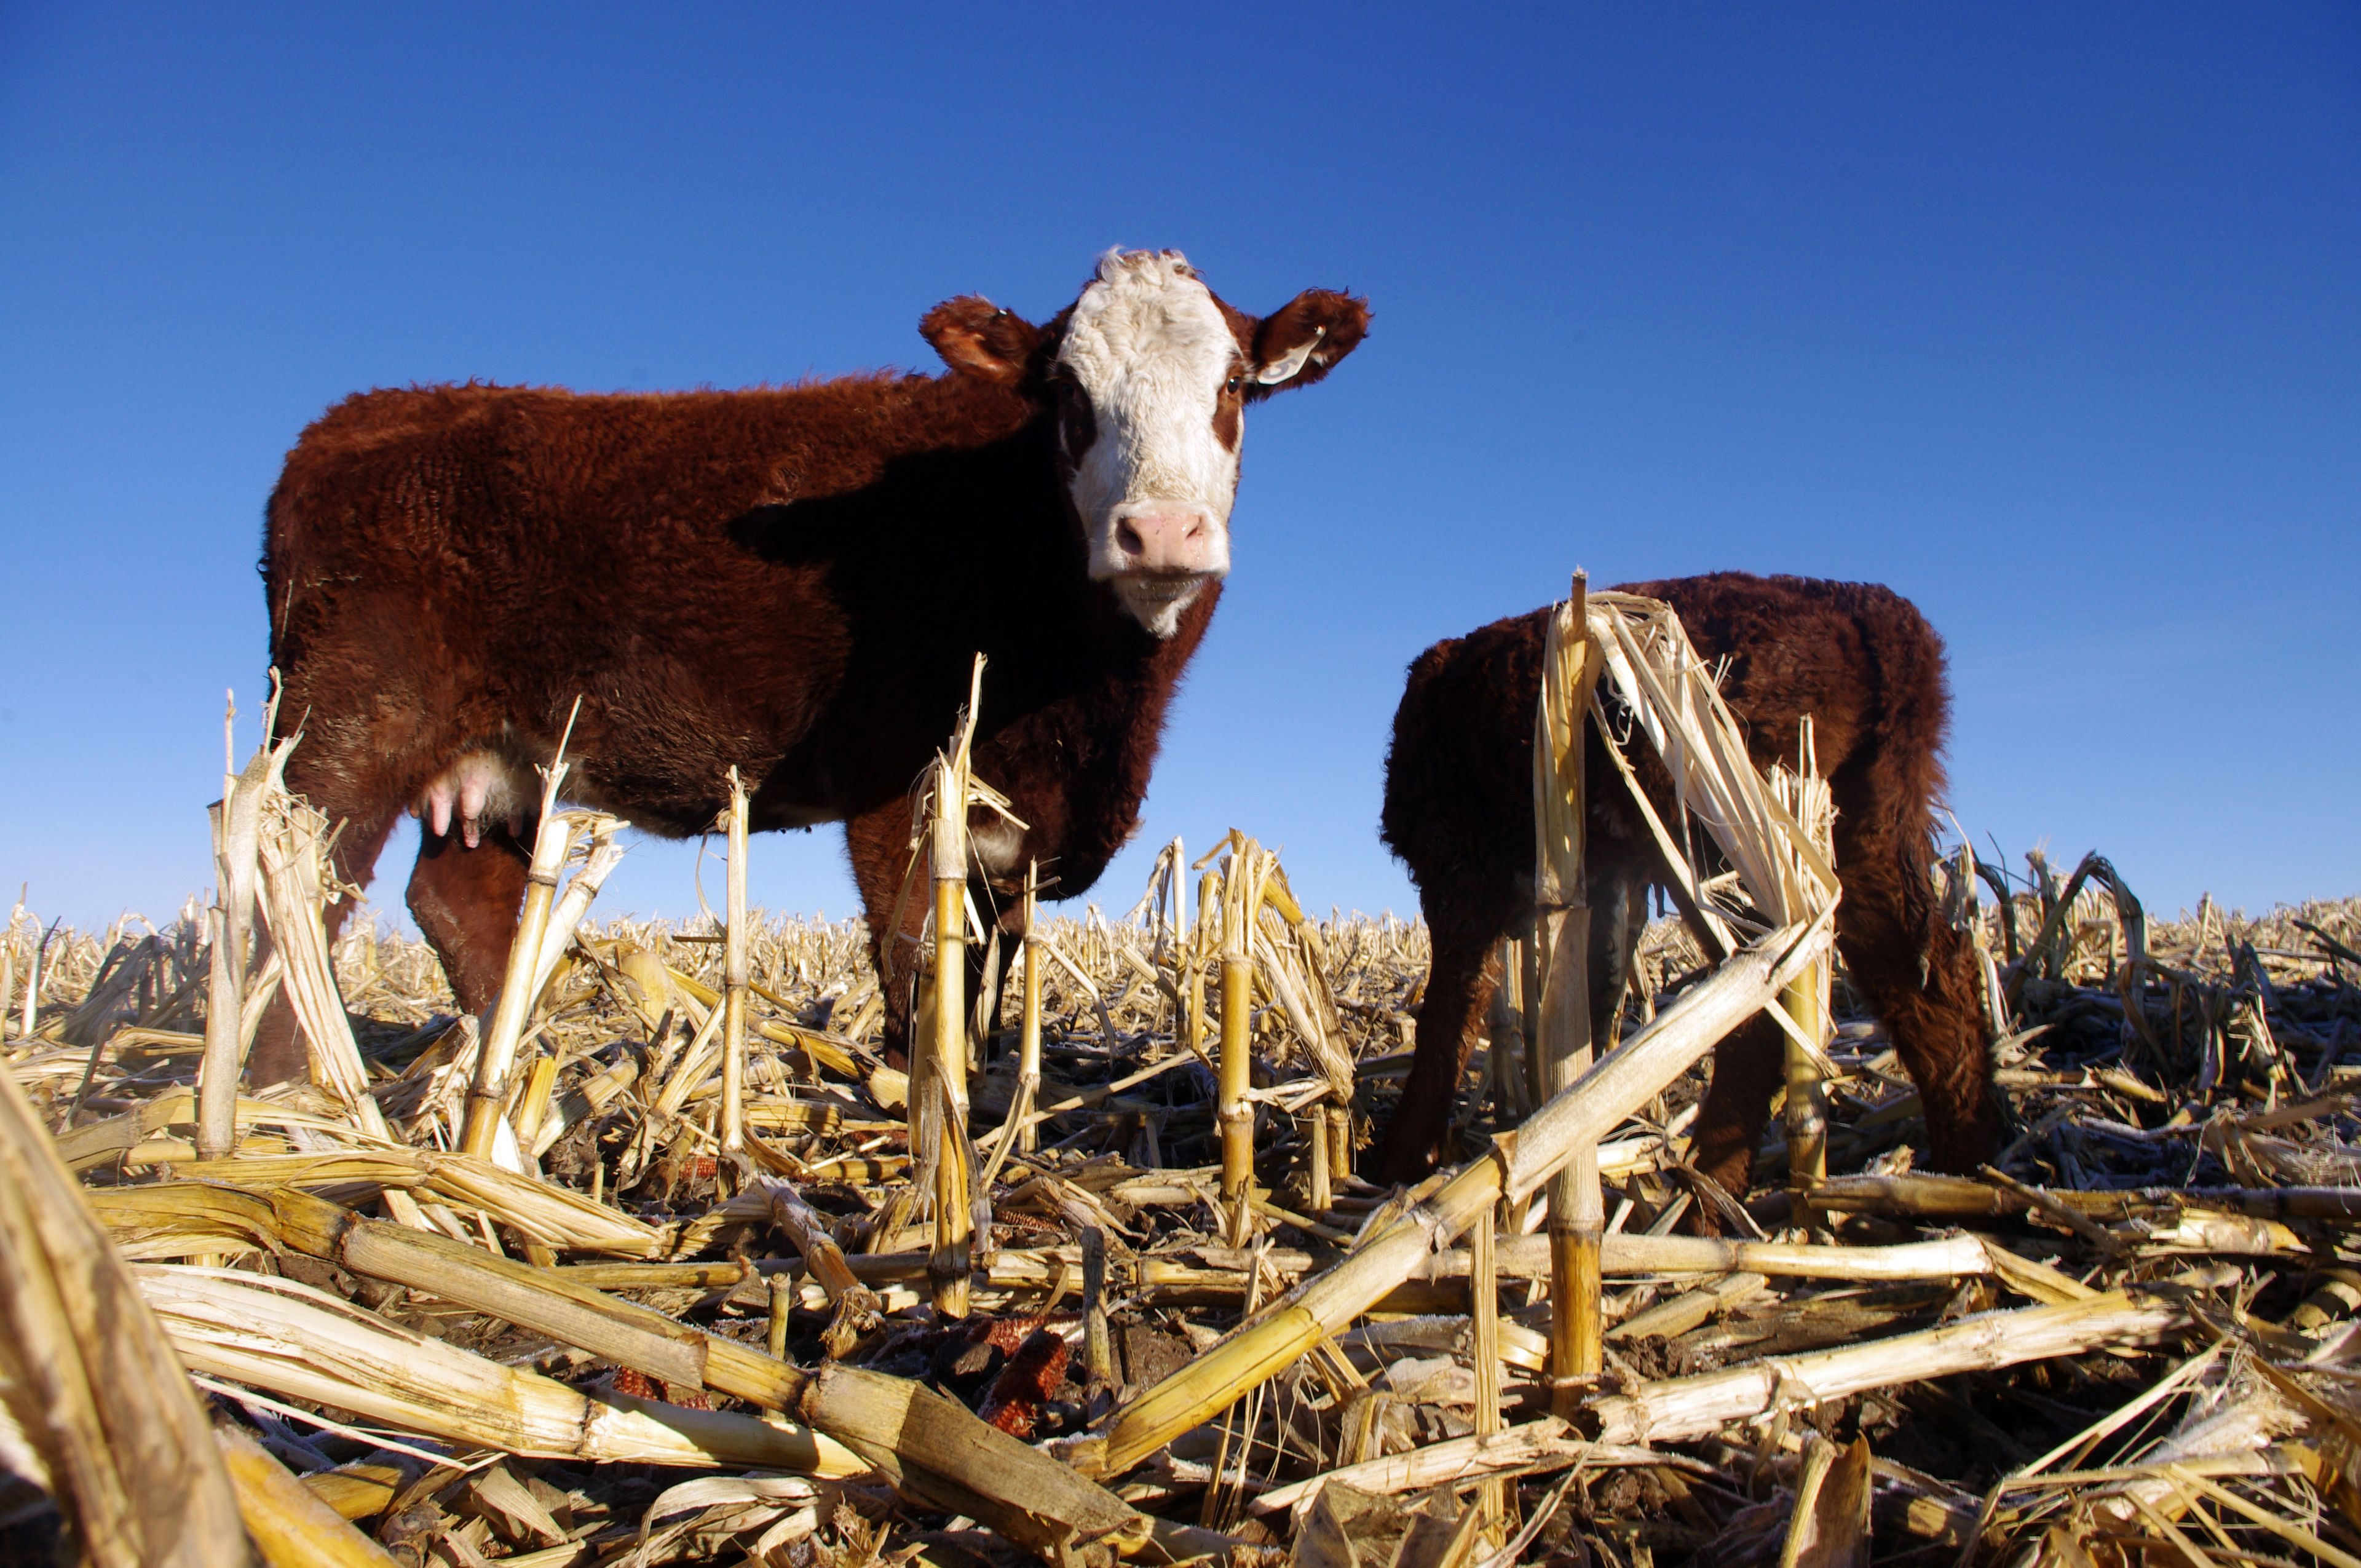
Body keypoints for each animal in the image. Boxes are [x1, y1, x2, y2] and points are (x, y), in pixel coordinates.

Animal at [256, 248, 1369, 1077]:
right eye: (1066, 391)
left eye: (1233, 385)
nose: (1162, 532)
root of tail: (360, 415)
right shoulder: (902, 783)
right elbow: (920, 964)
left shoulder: (1016, 836)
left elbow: (992, 981)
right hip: (346, 724)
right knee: (294, 890)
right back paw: (289, 1101)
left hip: (505, 760)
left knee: (456, 900)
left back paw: (509, 1075)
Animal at [1378, 574, 2002, 1199]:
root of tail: (1879, 617)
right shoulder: (1601, 878)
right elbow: (1592, 991)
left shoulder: (1457, 870)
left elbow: (1449, 1014)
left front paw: (1408, 1157)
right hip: (1861, 831)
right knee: (1931, 980)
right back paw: (1965, 1165)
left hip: (1722, 840)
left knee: (1754, 1001)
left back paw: (1707, 1193)